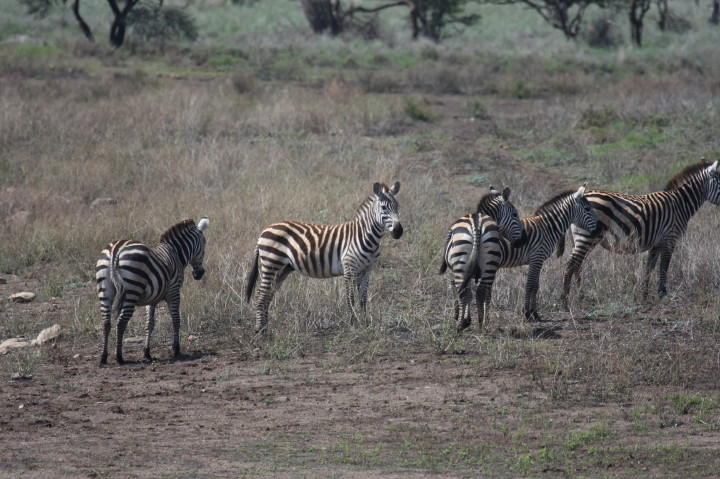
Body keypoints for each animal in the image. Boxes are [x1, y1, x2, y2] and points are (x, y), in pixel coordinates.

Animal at [96, 217, 210, 365]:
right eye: (205, 244)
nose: (199, 274)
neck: (176, 253)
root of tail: (116, 249)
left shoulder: (152, 299)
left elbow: (149, 324)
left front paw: (147, 352)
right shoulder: (174, 291)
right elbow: (176, 318)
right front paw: (176, 349)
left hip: (105, 290)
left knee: (106, 323)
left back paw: (103, 357)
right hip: (132, 290)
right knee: (121, 322)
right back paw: (119, 357)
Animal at [245, 181, 402, 333]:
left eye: (398, 206)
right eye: (383, 207)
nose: (398, 231)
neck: (365, 236)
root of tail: (265, 230)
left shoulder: (366, 270)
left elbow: (363, 298)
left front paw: (365, 323)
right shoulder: (349, 268)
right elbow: (350, 298)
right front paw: (352, 324)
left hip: (283, 268)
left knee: (269, 293)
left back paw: (266, 327)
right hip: (271, 263)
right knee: (261, 294)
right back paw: (259, 329)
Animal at [440, 186, 527, 331]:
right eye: (515, 214)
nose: (523, 240)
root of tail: (477, 224)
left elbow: (468, 292)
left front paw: (465, 318)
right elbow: (482, 294)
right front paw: (469, 318)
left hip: (464, 262)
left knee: (466, 290)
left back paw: (466, 325)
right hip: (488, 264)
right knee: (479, 291)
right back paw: (481, 324)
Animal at [483, 183, 599, 321]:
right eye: (587, 209)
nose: (599, 229)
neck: (548, 227)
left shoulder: (538, 260)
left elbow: (536, 285)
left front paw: (535, 313)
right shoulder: (537, 257)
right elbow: (530, 285)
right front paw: (527, 313)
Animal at [559, 159, 720, 308]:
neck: (680, 204)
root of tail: (578, 197)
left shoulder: (657, 243)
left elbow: (649, 267)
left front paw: (644, 294)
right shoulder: (670, 238)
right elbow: (664, 266)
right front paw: (662, 293)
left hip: (580, 238)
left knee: (578, 265)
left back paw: (581, 296)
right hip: (587, 237)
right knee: (570, 265)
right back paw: (565, 301)